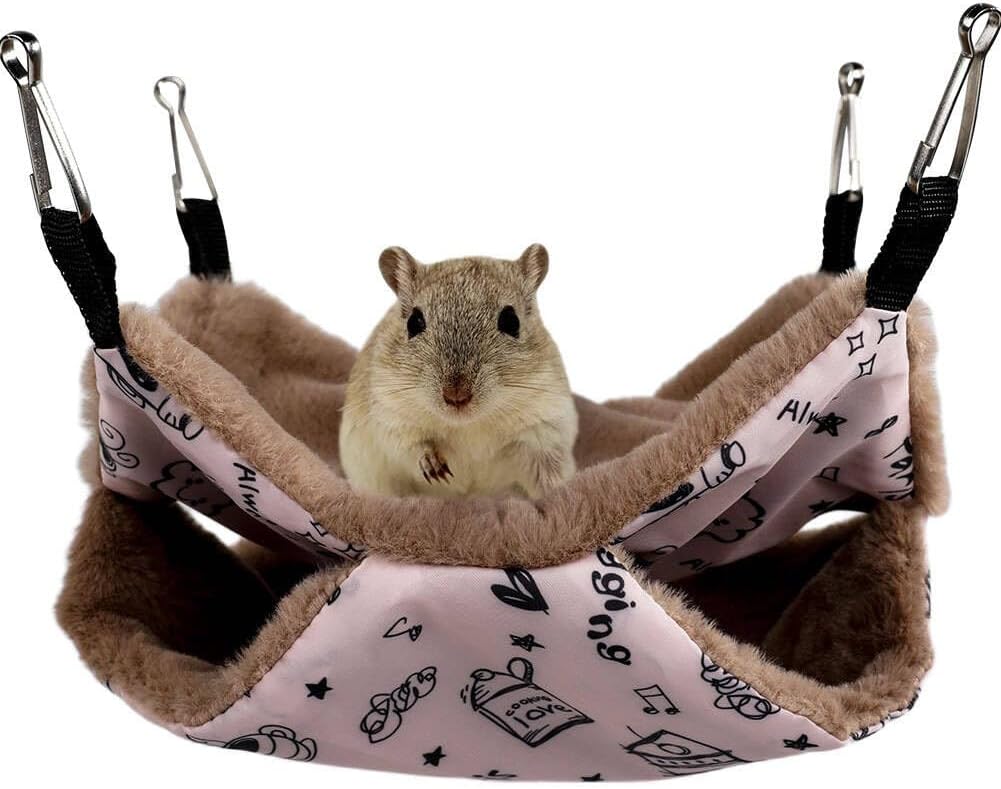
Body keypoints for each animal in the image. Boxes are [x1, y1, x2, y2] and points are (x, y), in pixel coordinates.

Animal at [339, 244, 578, 499]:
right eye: (414, 322)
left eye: (511, 321)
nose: (456, 396)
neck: (468, 425)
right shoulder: (390, 414)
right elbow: (411, 445)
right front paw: (433, 465)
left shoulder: (545, 429)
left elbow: (549, 476)